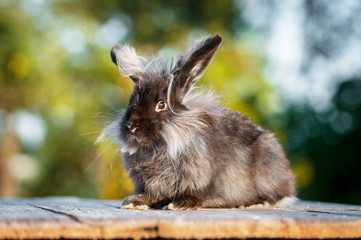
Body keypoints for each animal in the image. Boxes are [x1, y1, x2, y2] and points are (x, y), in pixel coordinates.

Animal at [102, 33, 296, 210]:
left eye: (161, 105)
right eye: (131, 101)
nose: (131, 127)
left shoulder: (205, 181)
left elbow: (199, 195)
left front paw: (179, 204)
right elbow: (150, 195)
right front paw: (133, 202)